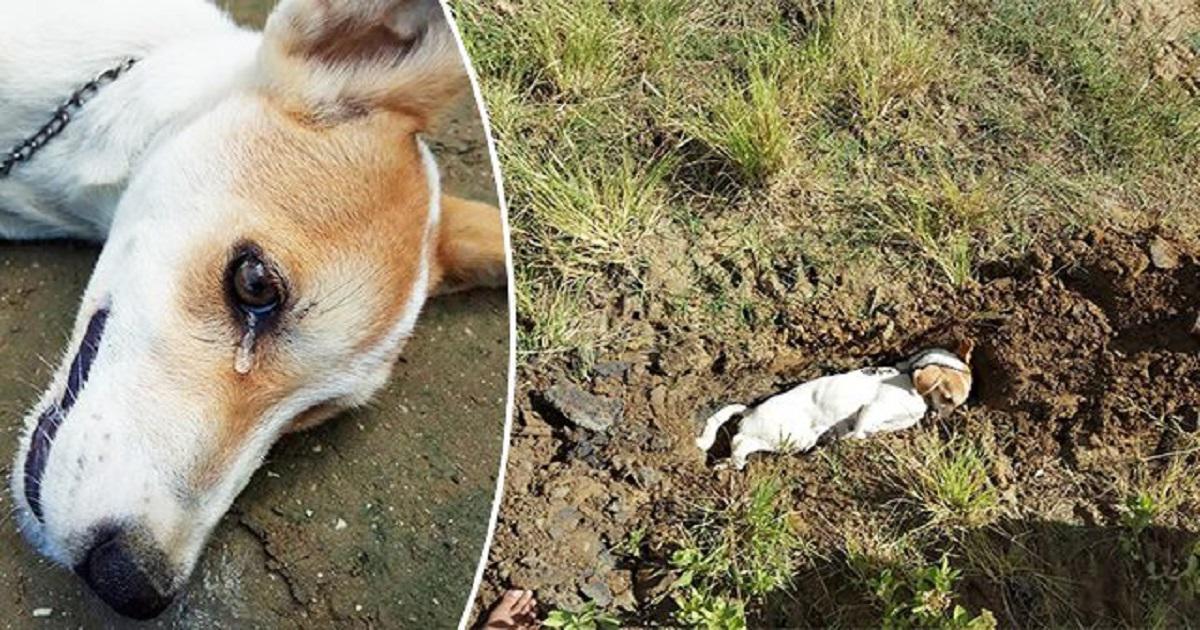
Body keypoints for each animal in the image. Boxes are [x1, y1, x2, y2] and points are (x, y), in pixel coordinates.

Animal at [696, 342, 974, 470]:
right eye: (948, 398)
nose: (946, 419)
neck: (910, 379)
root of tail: (750, 410)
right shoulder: (872, 409)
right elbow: (858, 431)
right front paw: (846, 441)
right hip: (790, 436)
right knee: (740, 441)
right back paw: (734, 461)